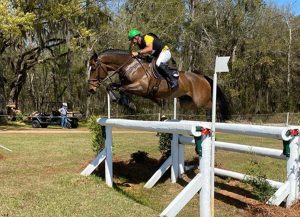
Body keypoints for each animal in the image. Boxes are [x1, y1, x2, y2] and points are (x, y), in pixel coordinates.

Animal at [88, 49, 229, 120]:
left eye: (93, 68)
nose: (91, 89)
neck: (130, 66)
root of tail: (202, 77)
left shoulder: (141, 87)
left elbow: (123, 89)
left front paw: (129, 104)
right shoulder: (128, 85)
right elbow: (111, 86)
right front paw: (117, 100)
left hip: (201, 100)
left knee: (214, 105)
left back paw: (217, 118)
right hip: (188, 103)